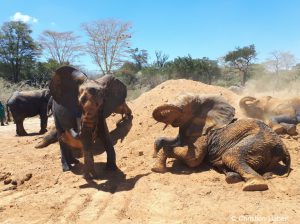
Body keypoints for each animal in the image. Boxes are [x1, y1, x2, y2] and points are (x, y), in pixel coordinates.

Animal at [152, 93, 290, 191]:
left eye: (186, 109)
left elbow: (193, 159)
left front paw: (156, 168)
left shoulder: (204, 134)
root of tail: (284, 148)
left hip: (258, 143)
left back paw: (254, 185)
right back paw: (232, 175)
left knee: (230, 156)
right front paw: (156, 157)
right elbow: (170, 141)